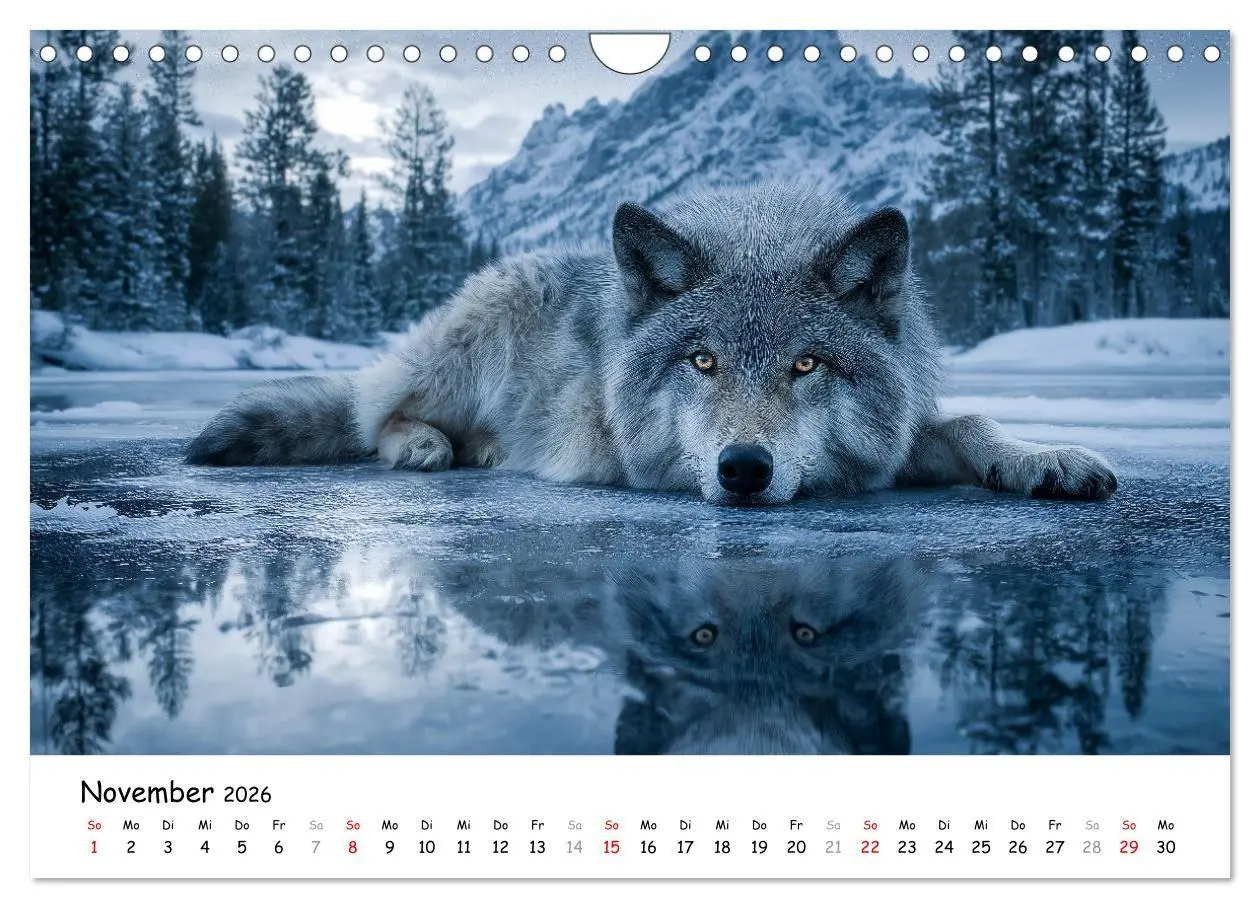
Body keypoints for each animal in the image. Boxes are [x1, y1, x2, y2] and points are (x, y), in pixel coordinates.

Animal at [187, 184, 1117, 506]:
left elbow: (970, 425)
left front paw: (1043, 458)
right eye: (701, 361)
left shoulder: (888, 443)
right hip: (465, 347)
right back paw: (425, 443)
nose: (744, 469)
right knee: (375, 410)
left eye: (806, 365)